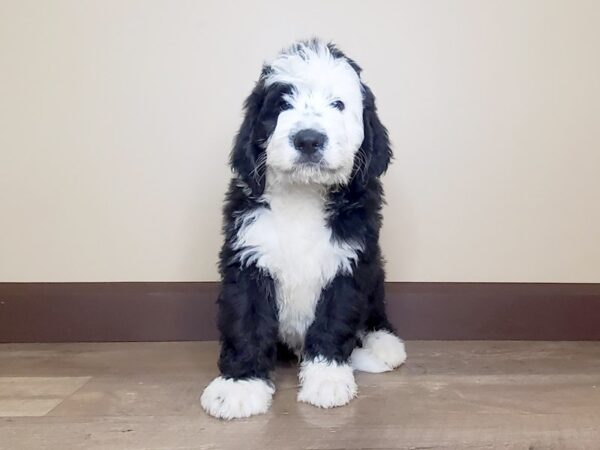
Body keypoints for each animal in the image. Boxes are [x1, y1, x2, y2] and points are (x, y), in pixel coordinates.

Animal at [200, 39, 404, 422]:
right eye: (282, 104)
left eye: (338, 104)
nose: (308, 139)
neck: (302, 194)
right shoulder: (248, 256)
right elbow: (246, 320)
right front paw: (241, 384)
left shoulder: (349, 262)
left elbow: (334, 319)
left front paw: (327, 377)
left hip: (376, 273)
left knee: (376, 313)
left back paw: (382, 344)